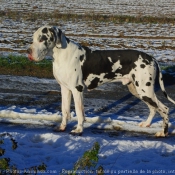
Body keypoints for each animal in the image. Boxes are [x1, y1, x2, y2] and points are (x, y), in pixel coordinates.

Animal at [27, 26, 175, 137]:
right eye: (33, 38)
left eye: (42, 39)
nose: (28, 51)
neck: (61, 55)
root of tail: (152, 58)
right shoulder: (65, 89)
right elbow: (64, 111)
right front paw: (62, 127)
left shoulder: (77, 89)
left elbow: (79, 113)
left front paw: (78, 130)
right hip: (138, 91)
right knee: (153, 108)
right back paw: (147, 124)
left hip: (145, 90)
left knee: (164, 108)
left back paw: (163, 133)